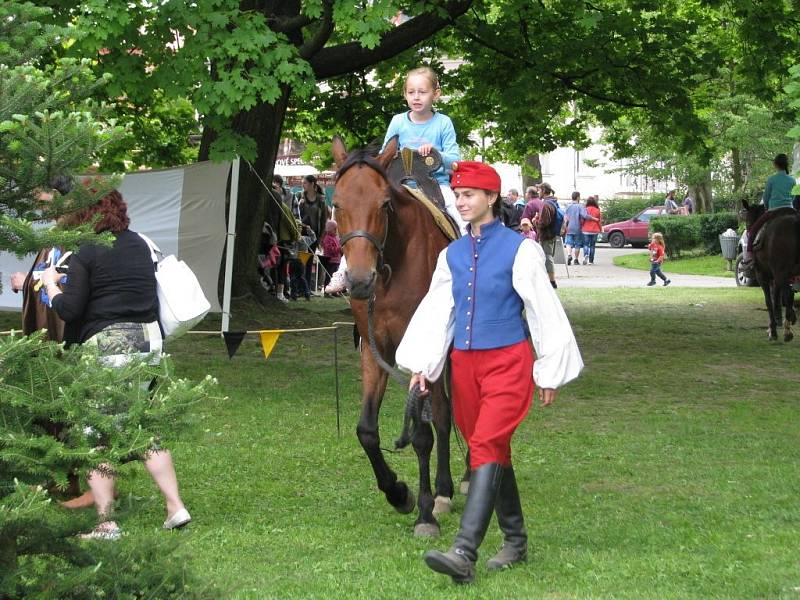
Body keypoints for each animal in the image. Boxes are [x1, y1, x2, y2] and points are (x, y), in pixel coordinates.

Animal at [330, 136, 454, 536]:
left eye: (384, 204)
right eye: (336, 203)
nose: (358, 280)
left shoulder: (423, 352)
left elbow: (422, 433)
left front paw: (426, 513)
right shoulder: (375, 349)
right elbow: (366, 431)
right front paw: (399, 493)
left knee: (446, 415)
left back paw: (448, 489)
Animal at [740, 202, 796, 340]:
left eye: (748, 220)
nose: (747, 231)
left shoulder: (763, 276)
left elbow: (769, 301)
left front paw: (773, 330)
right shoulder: (777, 278)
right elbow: (776, 297)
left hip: (780, 273)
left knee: (788, 295)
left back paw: (787, 332)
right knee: (788, 295)